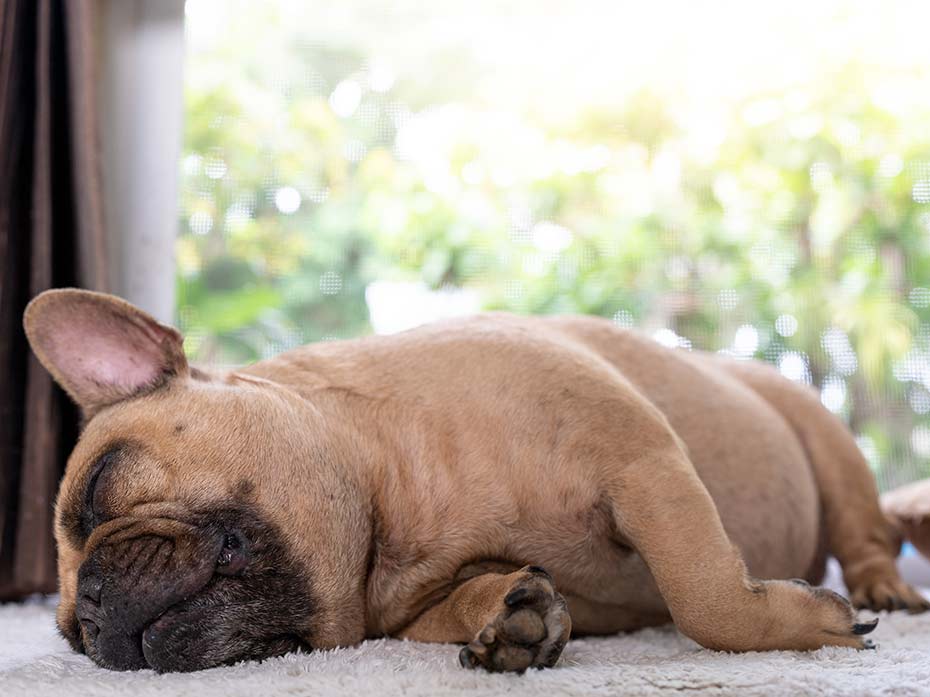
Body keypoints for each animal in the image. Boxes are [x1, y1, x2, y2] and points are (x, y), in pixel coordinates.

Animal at [21, 286, 928, 668]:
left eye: (99, 486)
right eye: (69, 637)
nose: (90, 609)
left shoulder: (643, 462)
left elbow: (704, 594)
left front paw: (808, 623)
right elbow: (466, 604)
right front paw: (510, 615)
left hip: (827, 442)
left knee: (866, 529)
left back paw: (885, 587)